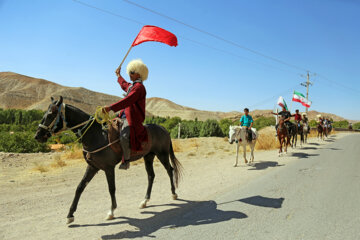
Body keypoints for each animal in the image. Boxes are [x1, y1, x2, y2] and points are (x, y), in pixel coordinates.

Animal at [34, 96, 183, 224]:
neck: (96, 136)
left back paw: (173, 193)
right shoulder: (92, 167)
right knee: (151, 176)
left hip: (162, 154)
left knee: (170, 170)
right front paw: (70, 215)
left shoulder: (108, 168)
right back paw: (144, 201)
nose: (37, 136)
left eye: (51, 114)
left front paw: (111, 212)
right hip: (148, 156)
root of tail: (163, 129)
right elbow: (80, 187)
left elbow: (111, 188)